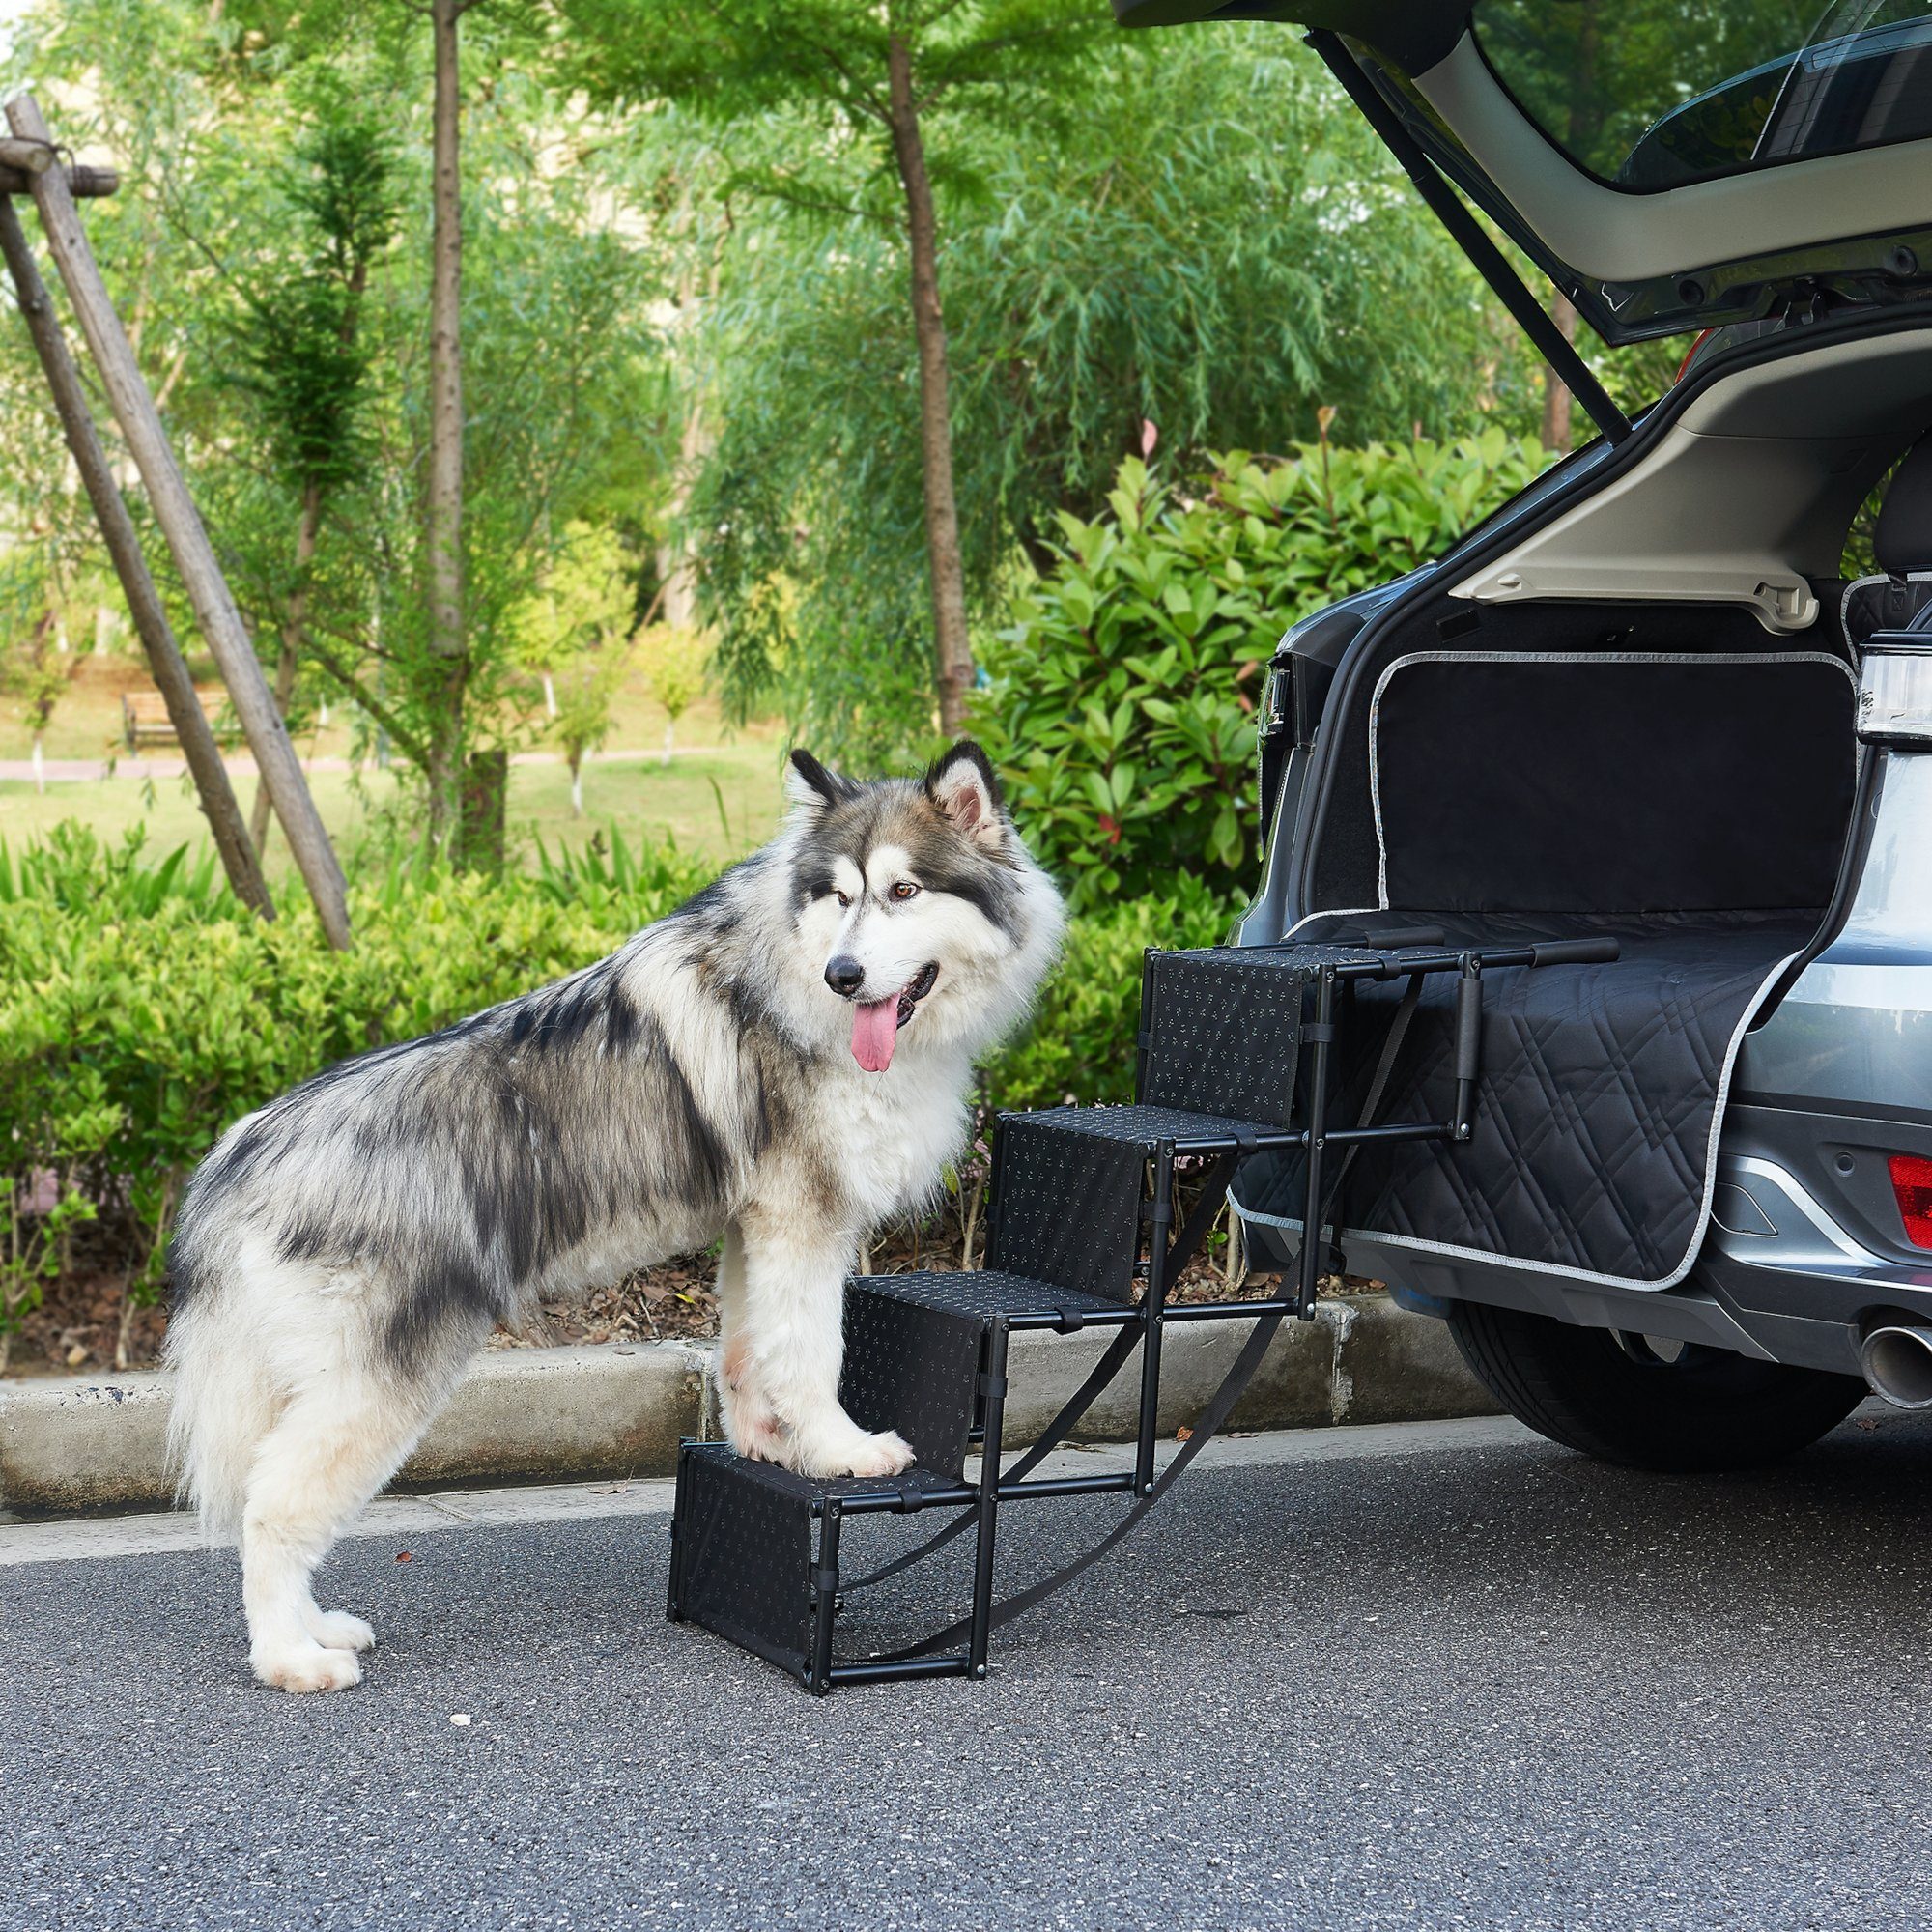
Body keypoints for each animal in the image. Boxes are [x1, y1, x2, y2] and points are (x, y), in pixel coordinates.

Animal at [166, 738, 1066, 1692]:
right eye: (840, 895)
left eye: (903, 891)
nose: (844, 975)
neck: (787, 972)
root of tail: (237, 1155)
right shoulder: (805, 1222)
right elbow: (813, 1354)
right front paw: (837, 1450)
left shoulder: (756, 1223)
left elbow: (749, 1348)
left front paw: (764, 1441)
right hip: (377, 1379)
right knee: (274, 1507)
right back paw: (291, 1659)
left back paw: (316, 1628)